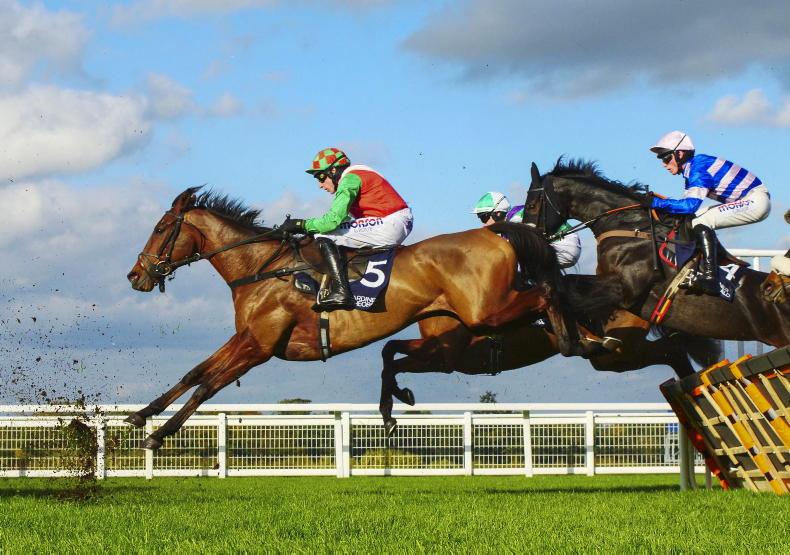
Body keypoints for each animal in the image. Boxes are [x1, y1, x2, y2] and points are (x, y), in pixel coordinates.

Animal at [125, 187, 605, 449]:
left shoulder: (259, 346)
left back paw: (576, 338)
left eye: (161, 228)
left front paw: (159, 434)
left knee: (547, 291)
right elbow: (193, 374)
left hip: (485, 312)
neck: (262, 267)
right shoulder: (246, 337)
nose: (135, 276)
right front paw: (140, 417)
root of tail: (498, 234)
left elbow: (207, 385)